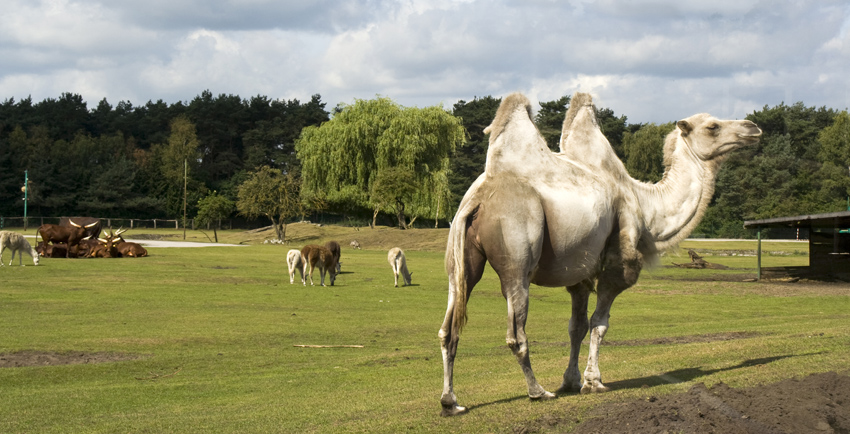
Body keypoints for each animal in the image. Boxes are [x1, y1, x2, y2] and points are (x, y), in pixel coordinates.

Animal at [438, 92, 760, 418]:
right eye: (712, 126)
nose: (753, 128)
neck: (646, 207)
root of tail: (478, 199)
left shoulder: (578, 272)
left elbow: (576, 326)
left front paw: (571, 381)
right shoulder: (618, 263)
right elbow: (599, 323)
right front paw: (593, 382)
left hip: (459, 259)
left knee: (449, 327)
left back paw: (451, 402)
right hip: (517, 250)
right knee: (516, 331)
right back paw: (537, 391)